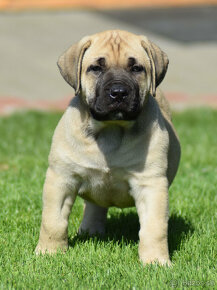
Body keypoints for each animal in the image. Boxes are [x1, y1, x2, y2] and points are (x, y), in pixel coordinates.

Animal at [35, 28, 181, 266]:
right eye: (96, 68)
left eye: (136, 68)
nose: (119, 92)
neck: (111, 130)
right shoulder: (61, 179)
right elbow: (53, 221)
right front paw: (49, 253)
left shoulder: (151, 184)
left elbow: (154, 228)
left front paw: (156, 261)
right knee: (94, 207)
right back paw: (89, 231)